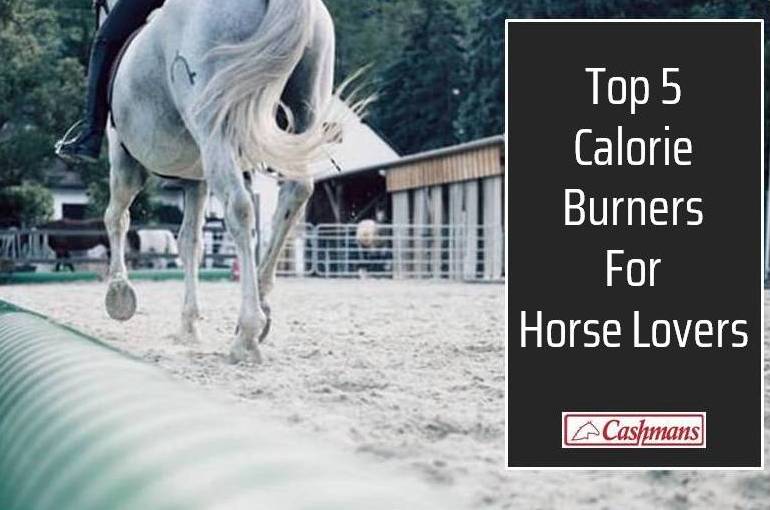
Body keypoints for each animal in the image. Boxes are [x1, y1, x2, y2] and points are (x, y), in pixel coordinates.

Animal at [98, 0, 360, 363]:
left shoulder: (124, 160)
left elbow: (117, 218)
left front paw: (119, 292)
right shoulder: (195, 179)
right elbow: (190, 243)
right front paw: (189, 325)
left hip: (214, 129)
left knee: (240, 208)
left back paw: (247, 332)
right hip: (304, 106)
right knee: (296, 193)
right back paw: (261, 308)